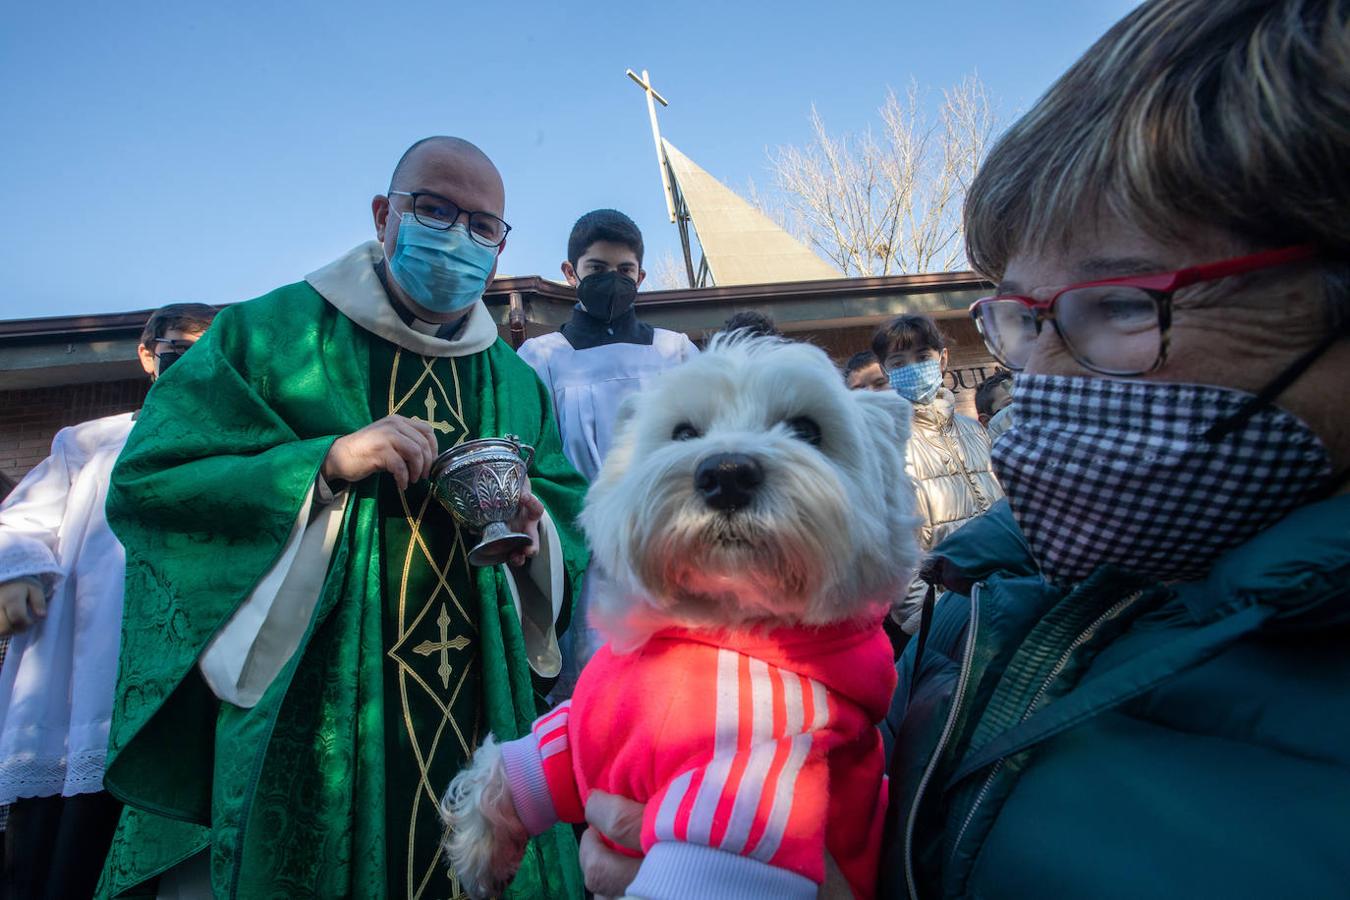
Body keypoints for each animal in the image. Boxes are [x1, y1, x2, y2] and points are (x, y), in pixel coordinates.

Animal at [440, 334, 918, 895]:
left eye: (807, 430)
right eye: (684, 432)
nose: (726, 474)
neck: (704, 623)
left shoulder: (742, 792)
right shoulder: (581, 725)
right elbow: (527, 756)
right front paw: (479, 854)